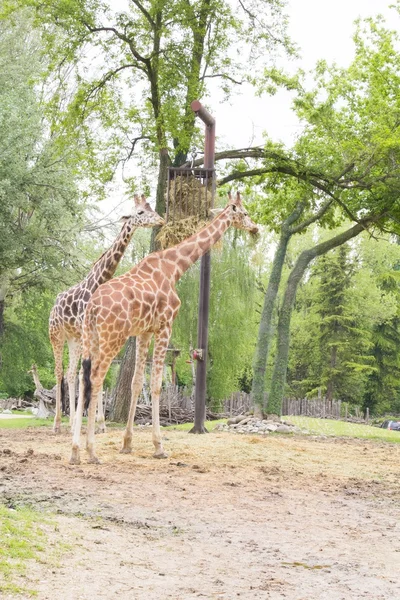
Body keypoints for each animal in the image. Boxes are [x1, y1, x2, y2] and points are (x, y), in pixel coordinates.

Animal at [48, 195, 164, 434]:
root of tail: (54, 306)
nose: (160, 219)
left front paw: (99, 423)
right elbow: (88, 373)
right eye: (140, 212)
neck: (97, 282)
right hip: (56, 335)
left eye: (151, 207)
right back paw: (57, 423)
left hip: (74, 338)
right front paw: (89, 422)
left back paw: (71, 420)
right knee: (59, 372)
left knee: (70, 373)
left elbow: (95, 373)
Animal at [70, 192, 258, 464]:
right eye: (244, 213)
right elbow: (158, 384)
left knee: (82, 379)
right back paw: (91, 451)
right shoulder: (165, 326)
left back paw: (75, 452)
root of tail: (92, 307)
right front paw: (158, 446)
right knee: (96, 378)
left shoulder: (144, 332)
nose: (255, 228)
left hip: (90, 337)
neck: (174, 268)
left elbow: (137, 382)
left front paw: (127, 443)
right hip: (112, 338)